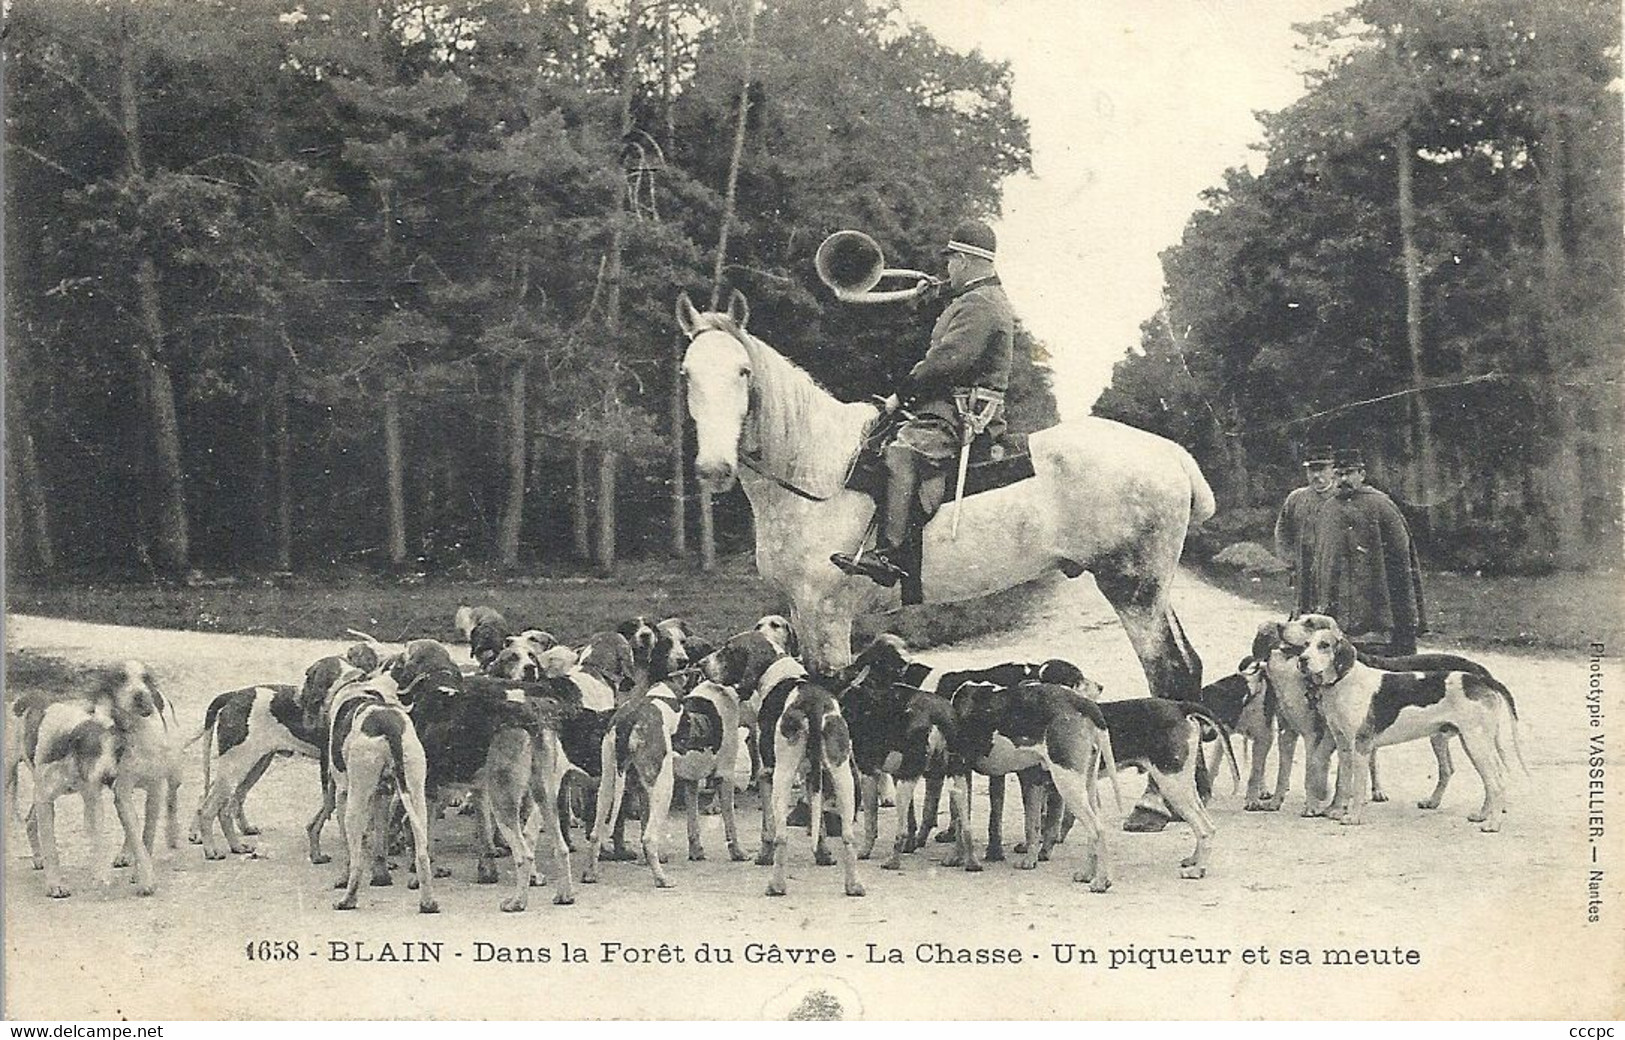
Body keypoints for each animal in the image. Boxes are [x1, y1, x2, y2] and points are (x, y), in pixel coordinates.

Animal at [666, 290, 1215, 698]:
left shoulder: (829, 614)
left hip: (1133, 589)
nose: (713, 469)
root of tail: (1171, 454)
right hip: (1152, 590)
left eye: (743, 372)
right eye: (686, 373)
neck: (820, 470)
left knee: (1169, 672)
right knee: (1187, 666)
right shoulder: (803, 610)